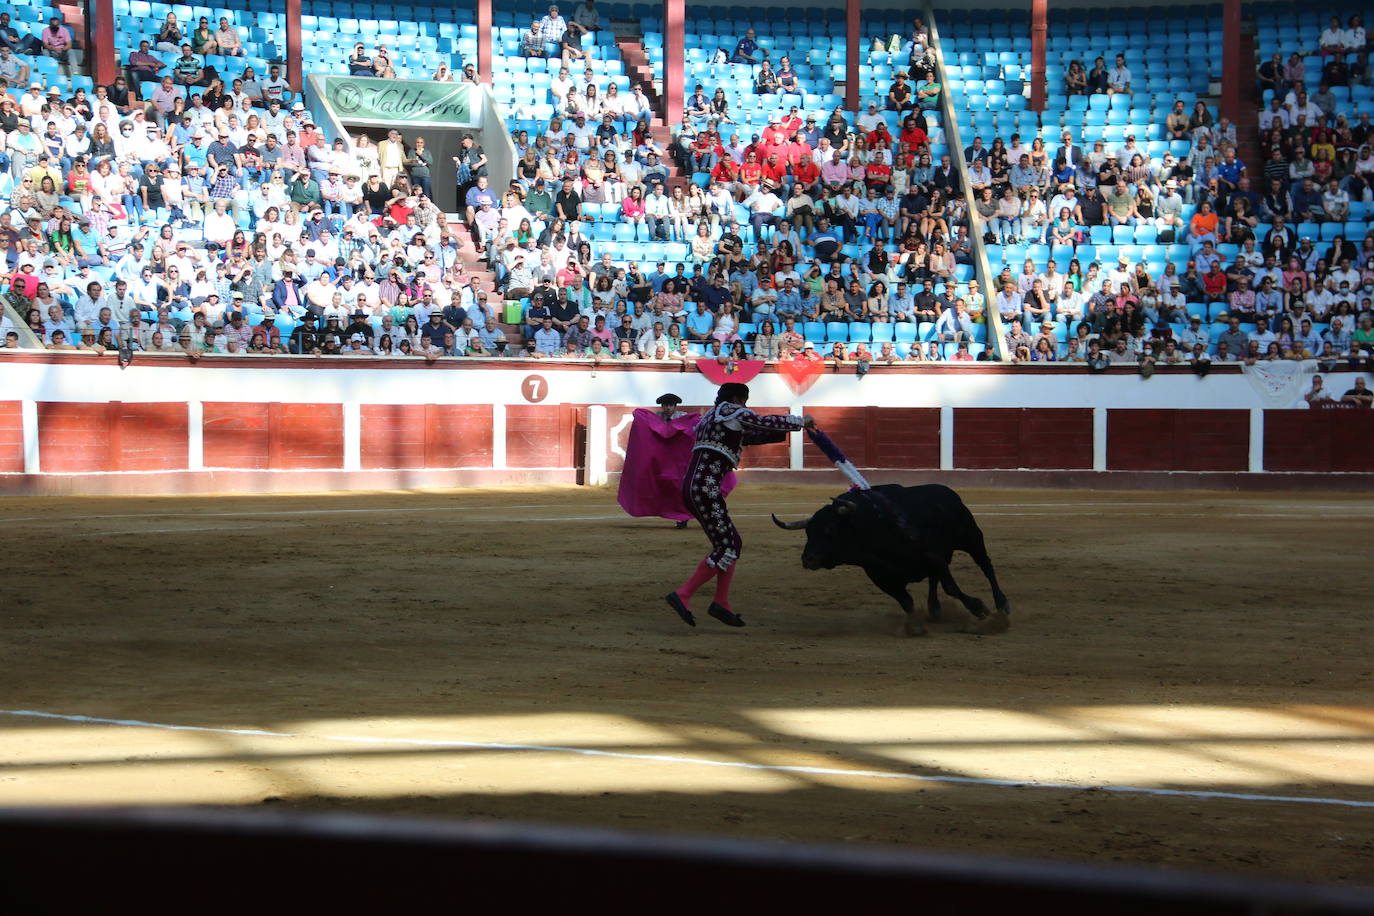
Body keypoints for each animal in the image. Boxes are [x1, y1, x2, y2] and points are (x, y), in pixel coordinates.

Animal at [774, 486, 1011, 637]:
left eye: (829, 530)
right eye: (808, 532)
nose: (807, 559)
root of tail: (949, 493)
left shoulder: (933, 557)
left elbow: (951, 587)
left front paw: (979, 608)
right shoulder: (882, 578)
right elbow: (906, 601)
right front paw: (915, 627)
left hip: (971, 538)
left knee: (986, 566)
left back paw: (1002, 604)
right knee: (934, 580)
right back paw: (934, 610)